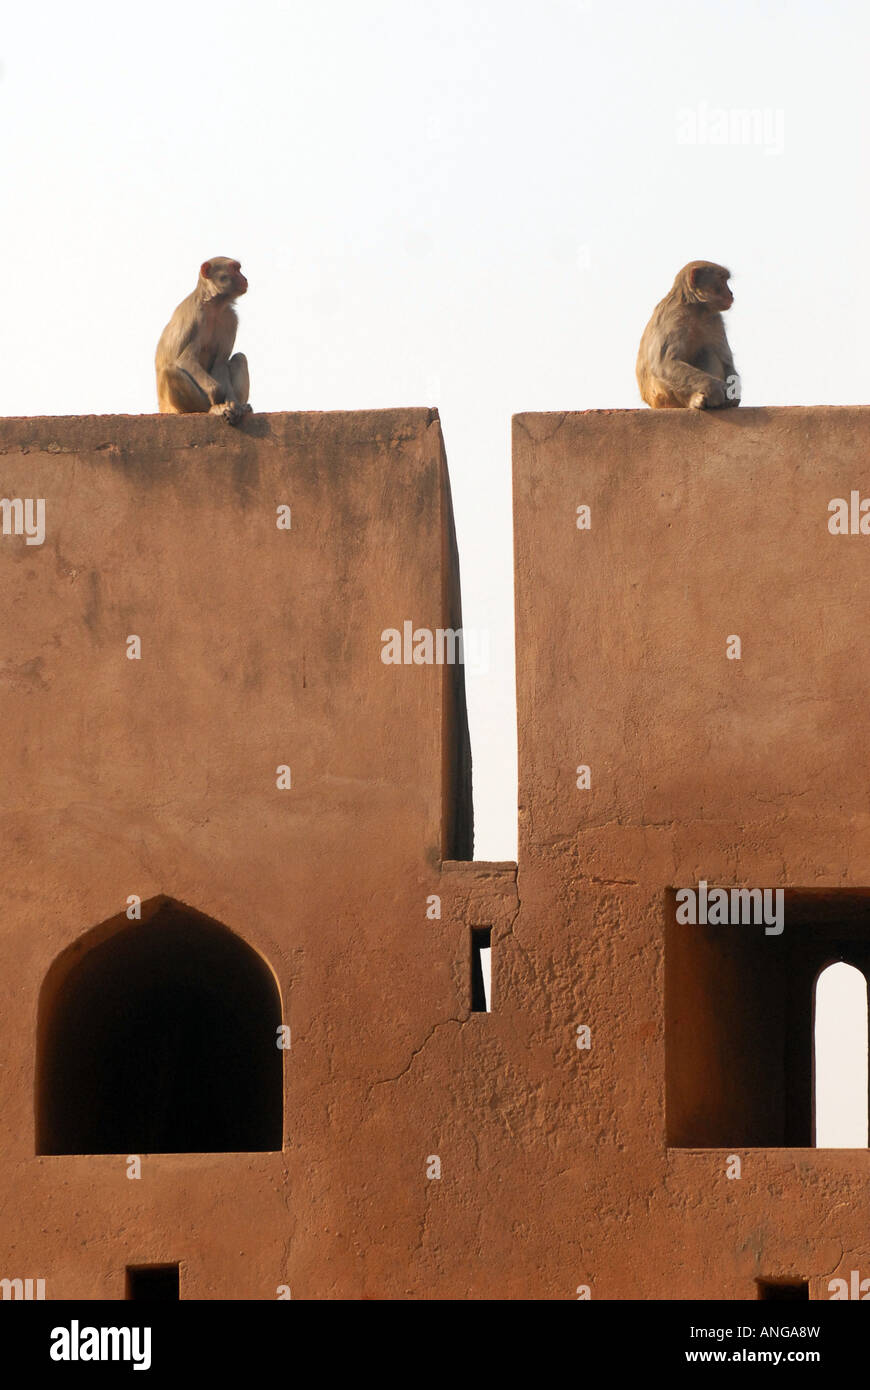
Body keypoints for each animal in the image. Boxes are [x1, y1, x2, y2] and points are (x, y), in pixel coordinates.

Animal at [155, 259, 252, 422]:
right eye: (235, 269)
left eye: (239, 269)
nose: (245, 279)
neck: (214, 306)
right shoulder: (196, 316)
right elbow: (185, 359)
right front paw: (217, 393)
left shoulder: (231, 320)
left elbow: (220, 363)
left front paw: (233, 404)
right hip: (175, 407)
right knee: (170, 371)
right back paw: (211, 408)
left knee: (240, 358)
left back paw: (241, 407)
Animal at [633, 261, 733, 408]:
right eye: (721, 278)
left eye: (725, 279)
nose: (731, 293)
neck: (696, 308)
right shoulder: (674, 316)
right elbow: (664, 363)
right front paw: (716, 389)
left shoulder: (715, 319)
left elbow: (726, 360)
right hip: (662, 396)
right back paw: (694, 400)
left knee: (709, 352)